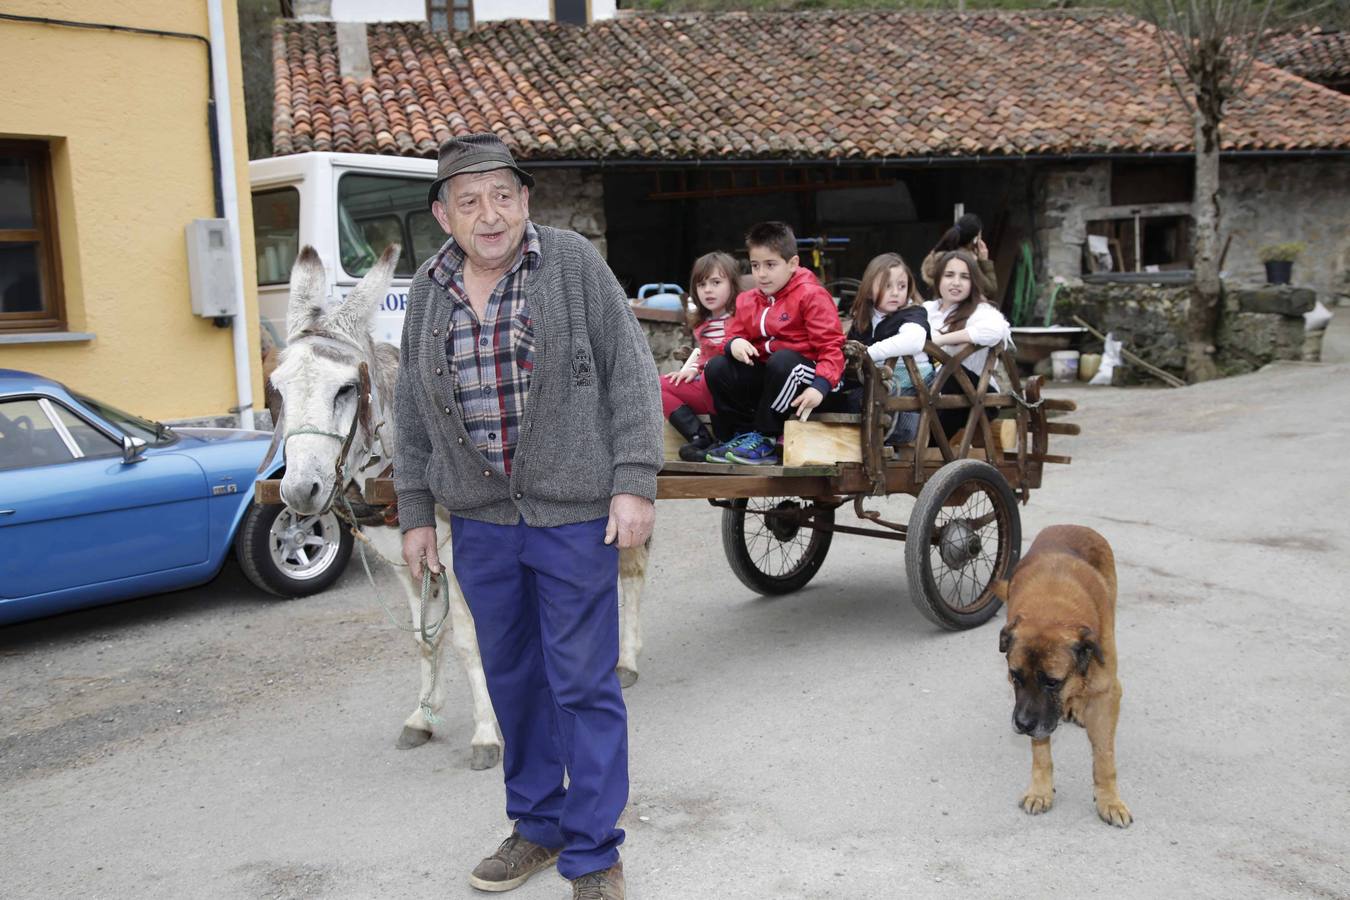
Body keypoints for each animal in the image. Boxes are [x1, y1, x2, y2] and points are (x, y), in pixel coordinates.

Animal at [993, 523, 1128, 825]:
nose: (1022, 725)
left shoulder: (1108, 693)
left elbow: (1104, 757)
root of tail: (1074, 525)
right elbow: (1041, 751)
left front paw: (1109, 800)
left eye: (1053, 682)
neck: (1053, 612)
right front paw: (1040, 791)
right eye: (1015, 677)